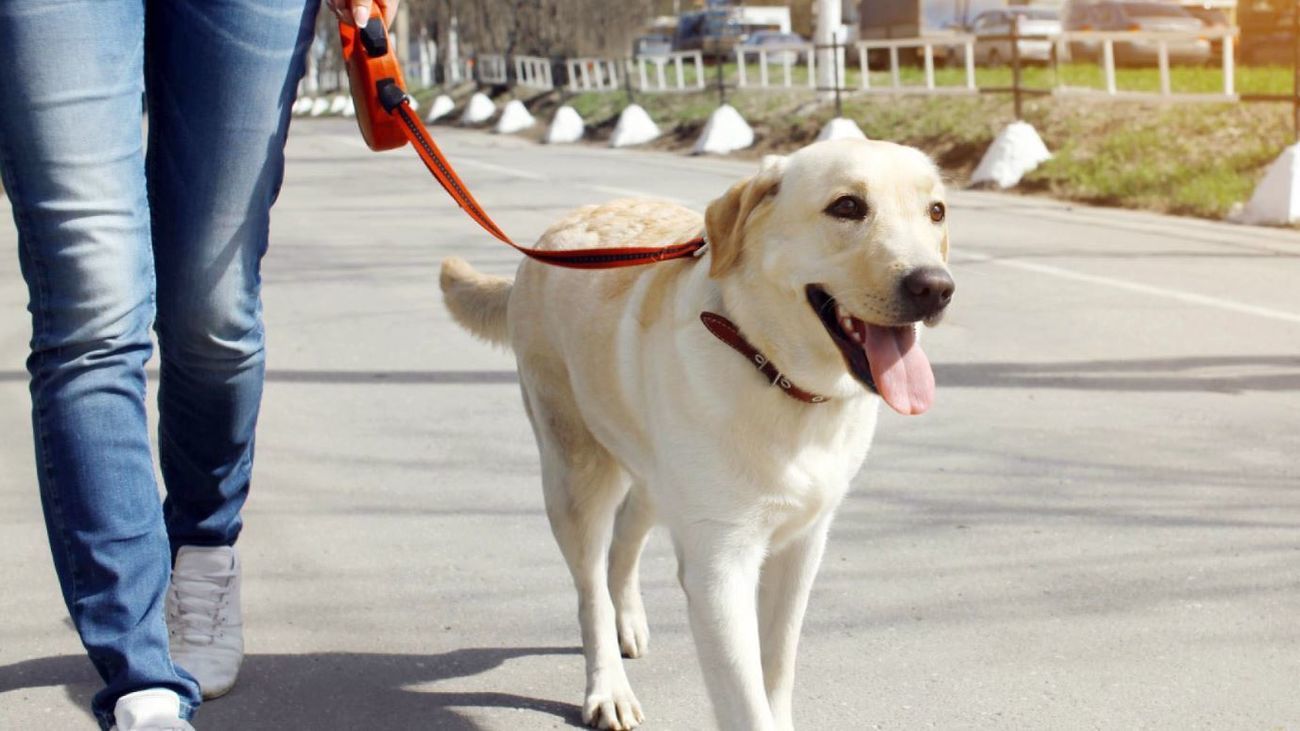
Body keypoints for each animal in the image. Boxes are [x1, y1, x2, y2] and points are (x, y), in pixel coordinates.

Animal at [439, 137, 956, 728]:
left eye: (936, 211)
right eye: (847, 206)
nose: (935, 287)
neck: (771, 370)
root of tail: (548, 239)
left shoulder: (802, 547)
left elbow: (778, 667)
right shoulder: (720, 567)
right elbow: (748, 703)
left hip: (653, 473)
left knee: (625, 538)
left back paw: (627, 619)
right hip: (575, 472)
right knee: (590, 587)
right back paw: (608, 685)